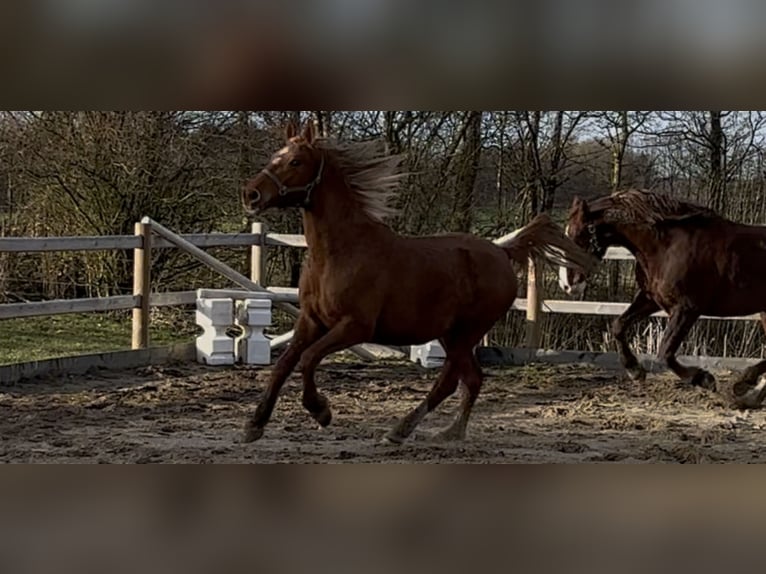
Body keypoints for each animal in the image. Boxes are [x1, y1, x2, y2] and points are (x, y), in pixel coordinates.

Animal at [240, 121, 595, 444]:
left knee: (451, 381)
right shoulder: (311, 321)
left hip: (466, 332)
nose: (251, 194)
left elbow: (308, 359)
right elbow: (284, 364)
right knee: (471, 379)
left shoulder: (355, 327)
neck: (340, 252)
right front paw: (255, 425)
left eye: (295, 161)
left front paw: (321, 411)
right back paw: (448, 432)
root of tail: (501, 251)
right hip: (452, 335)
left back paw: (401, 431)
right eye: (275, 156)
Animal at [559, 188, 766, 408]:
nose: (567, 284)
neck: (665, 247)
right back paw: (748, 390)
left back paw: (746, 384)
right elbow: (618, 325)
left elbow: (664, 352)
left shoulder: (686, 309)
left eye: (577, 235)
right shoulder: (651, 299)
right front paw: (635, 371)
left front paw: (703, 378)